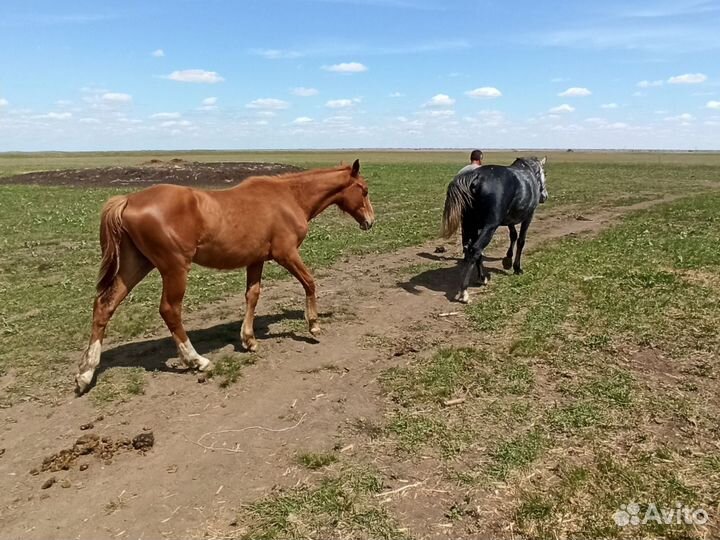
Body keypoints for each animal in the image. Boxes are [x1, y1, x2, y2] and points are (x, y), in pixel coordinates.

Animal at [75, 159, 374, 394]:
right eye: (364, 190)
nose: (370, 221)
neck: (289, 197)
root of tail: (128, 200)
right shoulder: (286, 253)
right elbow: (309, 282)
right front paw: (313, 326)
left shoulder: (255, 260)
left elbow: (252, 295)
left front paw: (249, 340)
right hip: (174, 268)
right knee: (170, 310)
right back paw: (197, 361)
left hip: (136, 265)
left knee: (104, 306)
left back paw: (86, 374)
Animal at [441, 156, 548, 304]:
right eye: (544, 174)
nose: (545, 196)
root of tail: (475, 176)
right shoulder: (528, 216)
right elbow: (521, 240)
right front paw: (517, 267)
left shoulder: (509, 220)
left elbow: (513, 235)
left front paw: (507, 260)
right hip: (490, 226)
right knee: (476, 249)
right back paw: (464, 292)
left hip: (470, 224)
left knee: (470, 249)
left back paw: (482, 278)